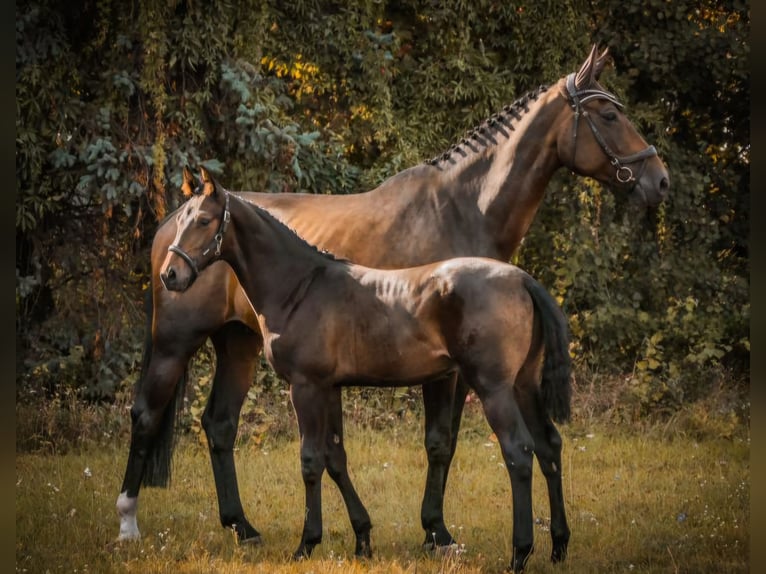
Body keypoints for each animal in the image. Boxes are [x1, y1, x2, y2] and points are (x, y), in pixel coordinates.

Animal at [160, 169, 574, 573]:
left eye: (203, 220)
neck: (300, 287)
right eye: (180, 220)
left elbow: (311, 461)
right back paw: (558, 546)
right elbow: (335, 458)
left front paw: (306, 544)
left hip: (494, 388)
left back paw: (520, 553)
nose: (170, 275)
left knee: (518, 451)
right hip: (523, 385)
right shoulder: (329, 387)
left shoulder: (305, 387)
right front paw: (362, 538)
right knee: (548, 445)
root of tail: (522, 279)